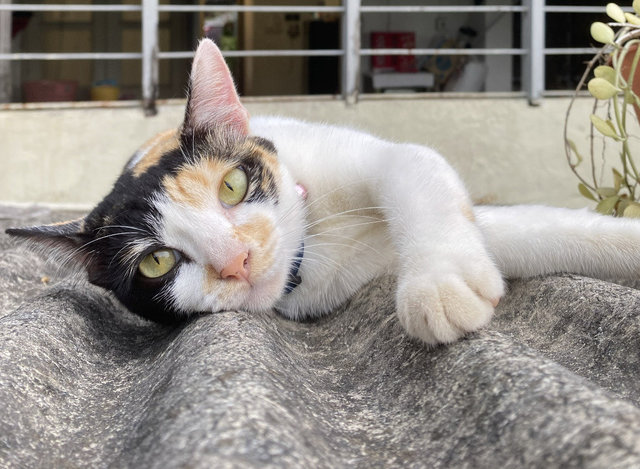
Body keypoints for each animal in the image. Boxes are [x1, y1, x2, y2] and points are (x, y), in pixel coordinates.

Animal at [7, 39, 640, 344]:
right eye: (157, 262)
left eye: (233, 185)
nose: (237, 260)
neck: (313, 253)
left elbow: (416, 167)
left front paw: (438, 280)